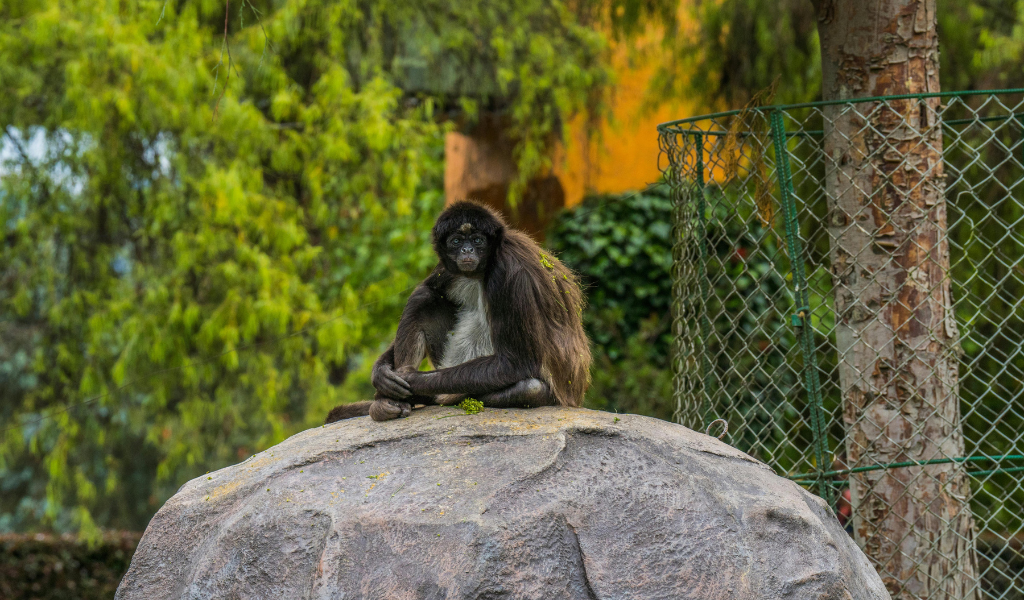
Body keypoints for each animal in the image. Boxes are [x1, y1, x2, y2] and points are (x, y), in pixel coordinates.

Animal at [323, 199, 589, 419]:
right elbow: (430, 288)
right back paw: (388, 404)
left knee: (530, 388)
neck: (484, 269)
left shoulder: (510, 272)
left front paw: (410, 378)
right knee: (423, 296)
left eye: (478, 240)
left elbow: (516, 362)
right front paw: (381, 374)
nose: (467, 250)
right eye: (457, 241)